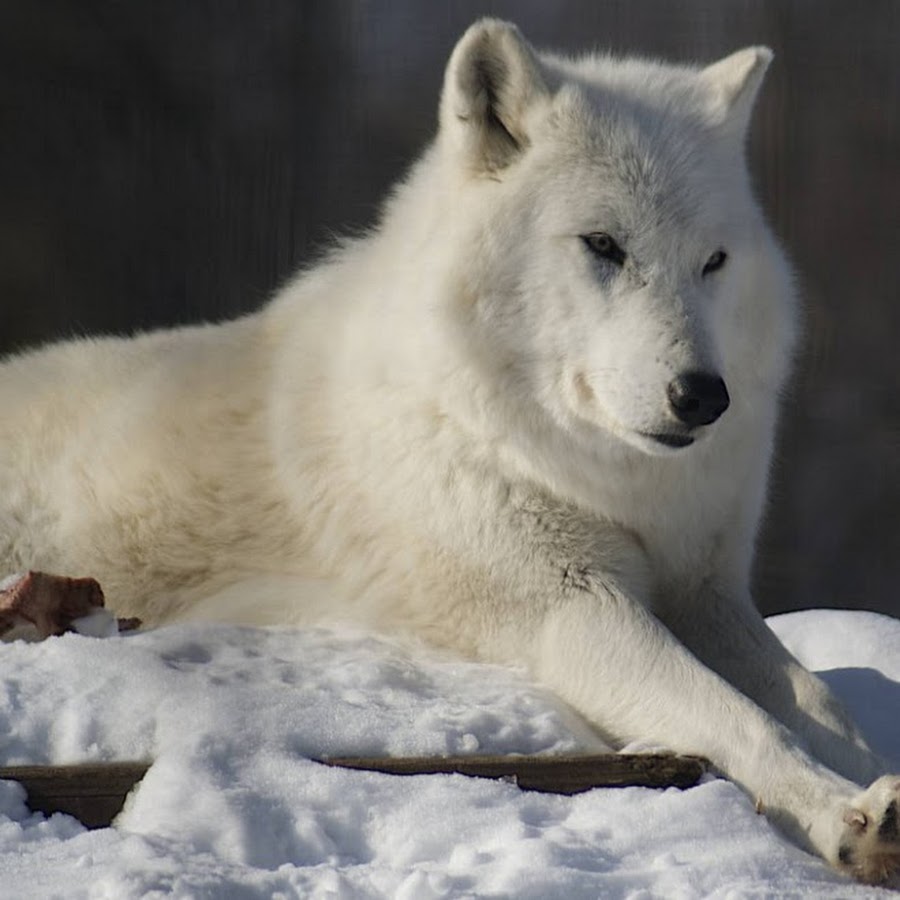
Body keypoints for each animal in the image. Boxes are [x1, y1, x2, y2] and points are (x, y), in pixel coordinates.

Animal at [1, 21, 900, 884]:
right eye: (603, 245)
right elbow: (739, 718)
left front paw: (867, 780)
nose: (703, 395)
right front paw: (844, 817)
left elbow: (821, 705)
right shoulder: (567, 604)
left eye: (713, 261)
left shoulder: (705, 590)